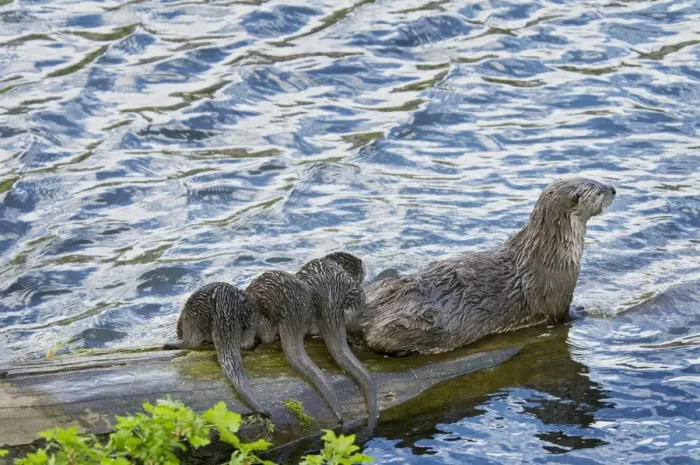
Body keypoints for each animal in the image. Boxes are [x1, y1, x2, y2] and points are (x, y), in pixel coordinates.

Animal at [163, 282, 267, 415]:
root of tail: (225, 304)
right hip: (250, 316)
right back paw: (256, 341)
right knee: (246, 343)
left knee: (191, 342)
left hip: (194, 316)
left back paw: (169, 345)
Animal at [360, 178, 616, 356]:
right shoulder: (558, 293)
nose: (613, 189)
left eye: (598, 179)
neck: (553, 253)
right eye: (597, 189)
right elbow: (563, 315)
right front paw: (583, 311)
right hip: (419, 321)